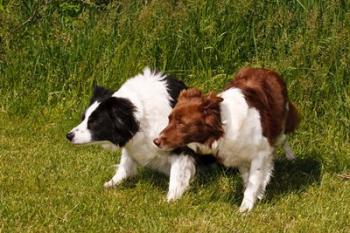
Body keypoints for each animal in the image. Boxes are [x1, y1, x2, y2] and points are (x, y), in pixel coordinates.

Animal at [66, 67, 197, 200]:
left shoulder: (179, 146)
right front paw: (112, 183)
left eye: (94, 123)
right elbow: (125, 165)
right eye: (83, 118)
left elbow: (176, 175)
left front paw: (171, 199)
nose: (69, 136)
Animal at [154, 68, 300, 213]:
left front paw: (245, 208)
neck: (223, 127)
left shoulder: (260, 152)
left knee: (284, 140)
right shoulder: (240, 156)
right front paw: (256, 195)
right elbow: (248, 179)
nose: (156, 141)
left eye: (181, 124)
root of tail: (266, 70)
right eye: (169, 119)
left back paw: (291, 157)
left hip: (280, 127)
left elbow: (253, 181)